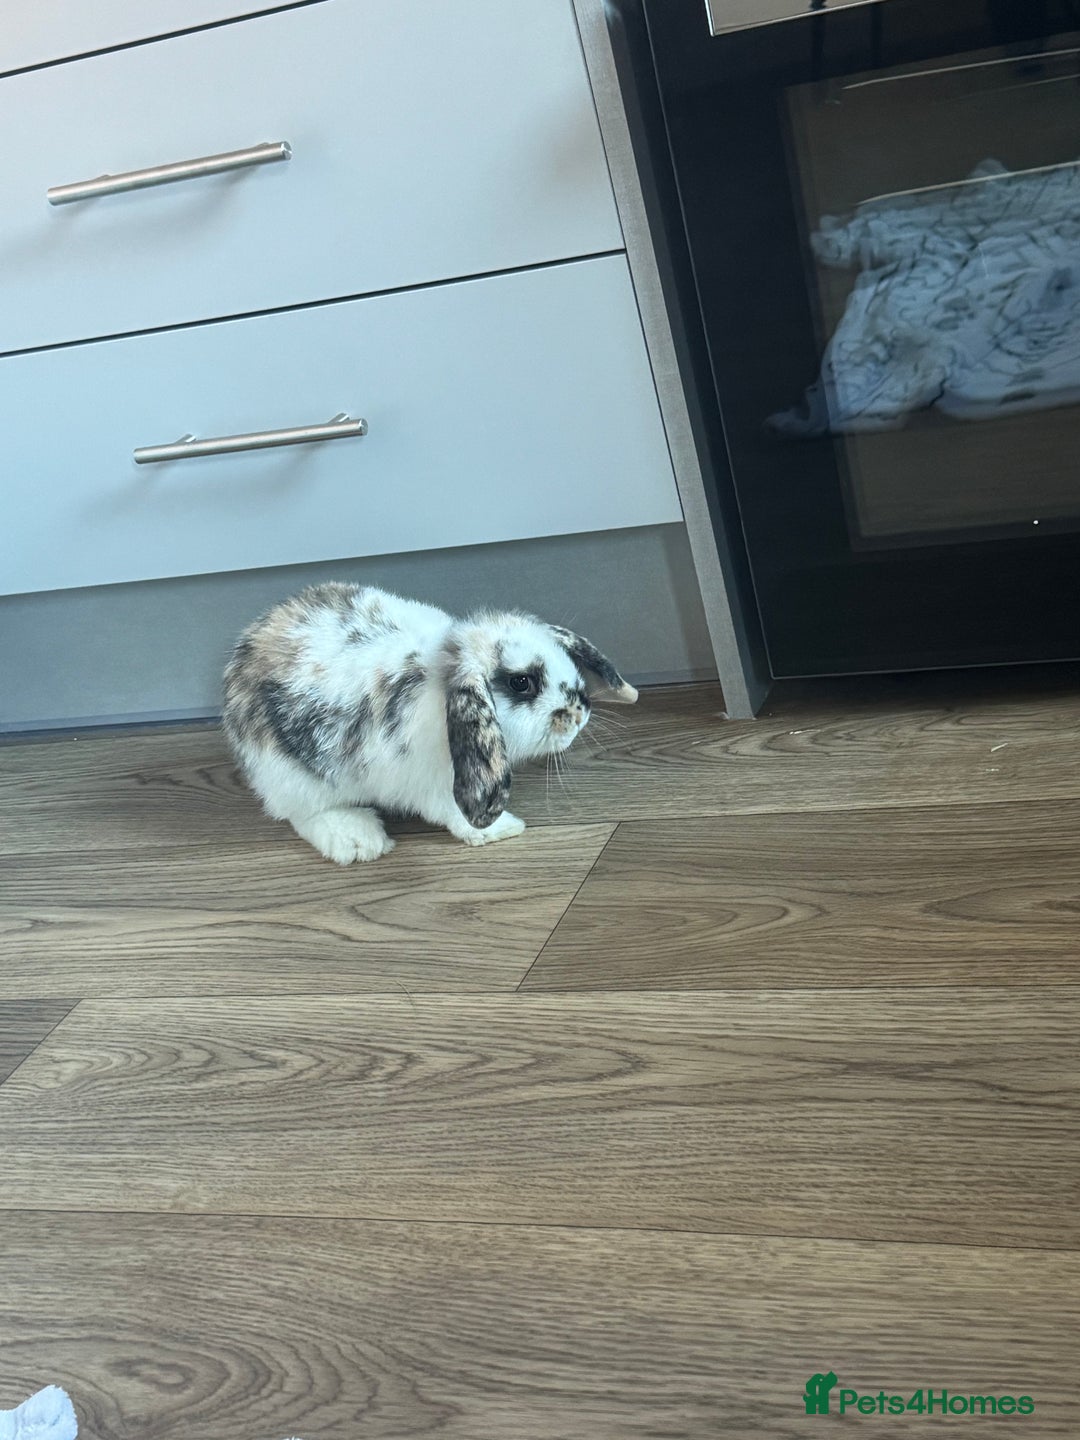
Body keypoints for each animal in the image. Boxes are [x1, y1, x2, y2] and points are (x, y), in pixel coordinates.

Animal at [222, 583, 638, 863]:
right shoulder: (434, 783)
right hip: (293, 776)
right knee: (303, 813)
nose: (580, 712)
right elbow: (454, 813)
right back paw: (359, 843)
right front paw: (501, 830)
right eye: (521, 682)